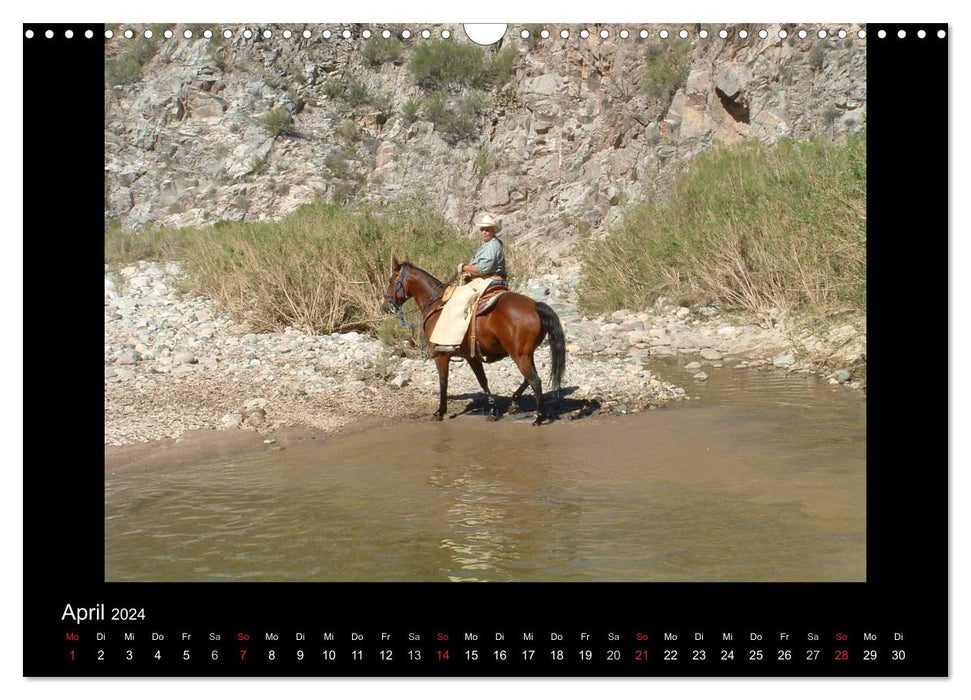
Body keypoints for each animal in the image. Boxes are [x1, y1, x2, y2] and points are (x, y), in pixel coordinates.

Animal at [386, 260, 568, 424]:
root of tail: (536, 305)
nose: (386, 306)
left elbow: (444, 382)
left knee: (535, 381)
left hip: (520, 356)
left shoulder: (441, 355)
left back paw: (539, 417)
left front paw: (440, 411)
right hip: (526, 355)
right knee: (528, 379)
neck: (437, 303)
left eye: (390, 280)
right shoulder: (471, 356)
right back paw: (515, 402)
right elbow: (483, 381)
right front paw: (493, 409)